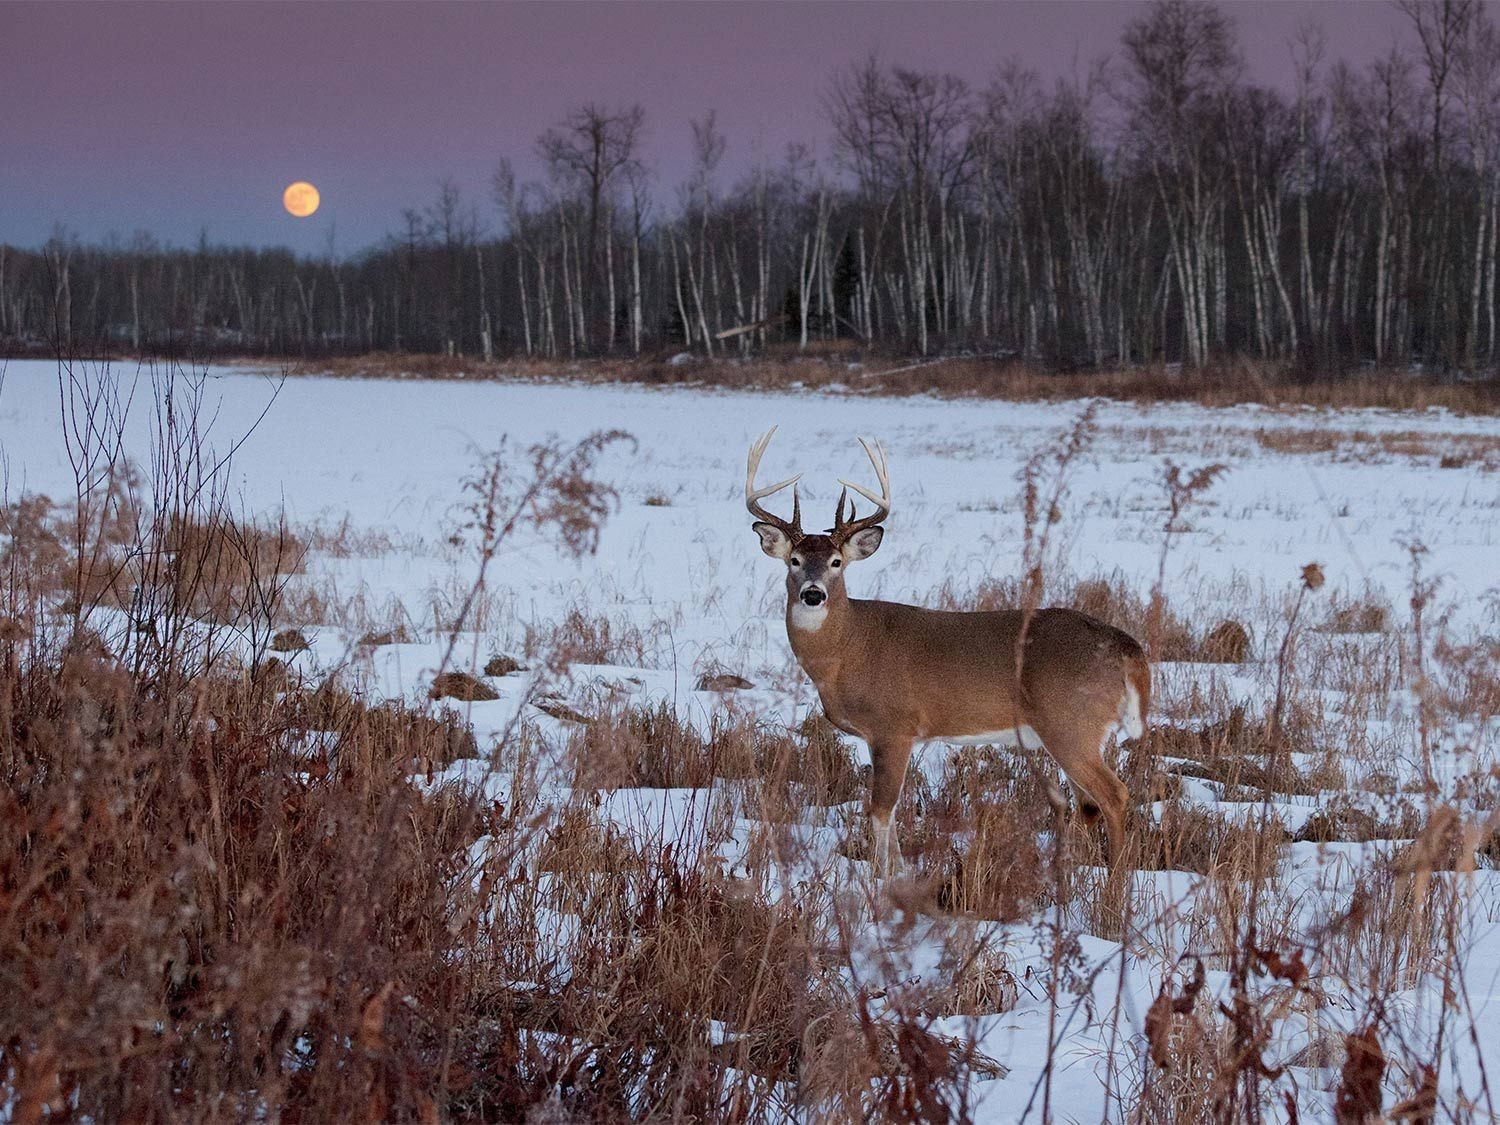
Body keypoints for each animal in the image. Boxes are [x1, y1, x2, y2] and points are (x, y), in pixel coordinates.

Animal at [747, 426, 1146, 876]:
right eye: (794, 560)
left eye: (836, 562)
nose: (813, 594)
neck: (847, 651)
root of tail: (1128, 647)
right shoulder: (876, 735)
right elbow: (890, 813)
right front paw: (899, 872)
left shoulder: (895, 724)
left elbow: (880, 811)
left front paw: (881, 880)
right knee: (1090, 803)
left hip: (1071, 724)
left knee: (1115, 794)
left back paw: (1114, 885)